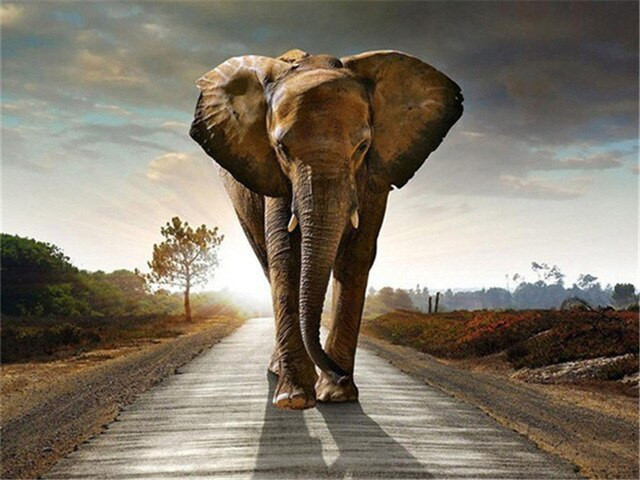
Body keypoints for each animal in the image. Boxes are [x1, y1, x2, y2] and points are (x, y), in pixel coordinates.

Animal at [190, 49, 462, 410]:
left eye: (362, 147)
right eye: (282, 149)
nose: (338, 373)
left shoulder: (375, 175)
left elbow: (356, 256)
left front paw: (337, 395)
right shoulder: (274, 176)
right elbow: (286, 255)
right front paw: (294, 399)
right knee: (266, 261)